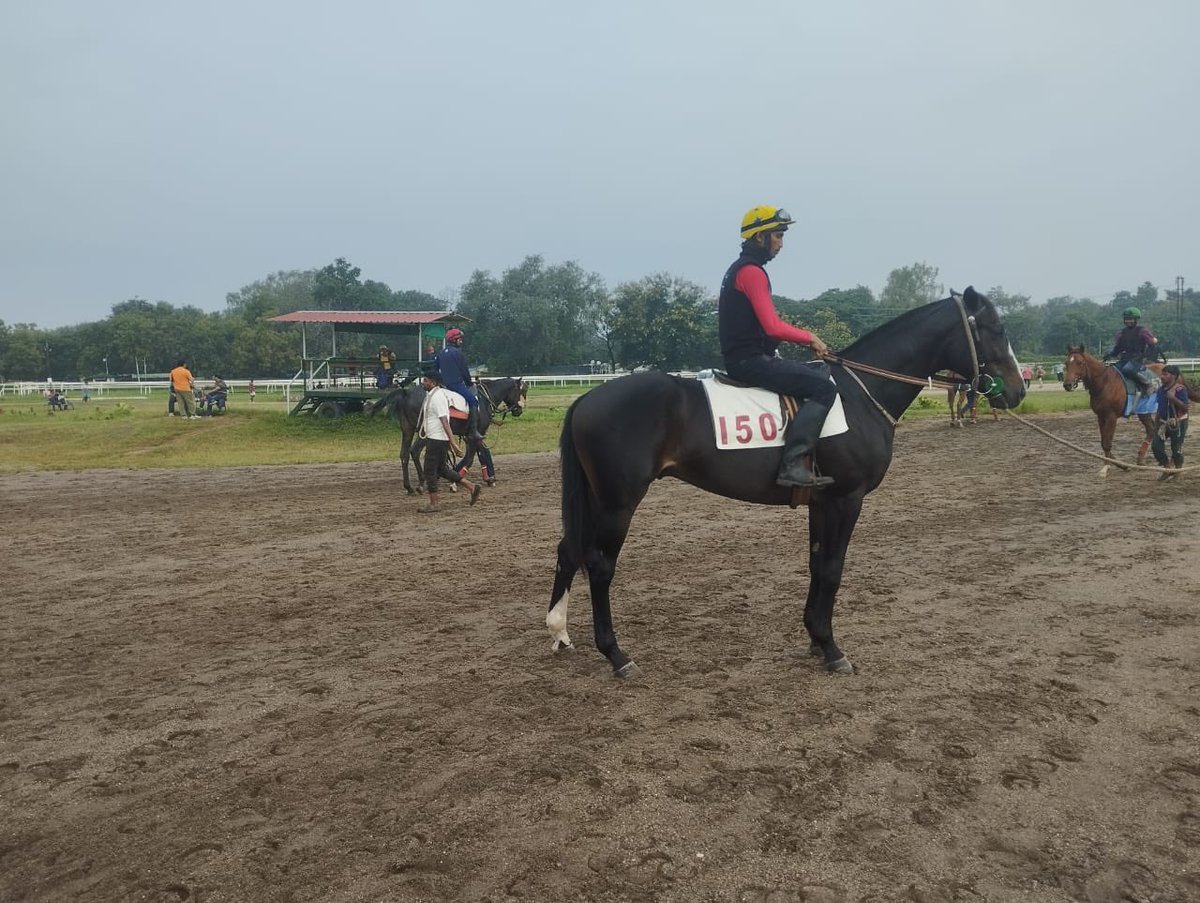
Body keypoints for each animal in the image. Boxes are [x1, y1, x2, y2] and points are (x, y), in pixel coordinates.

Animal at [375, 376, 526, 494]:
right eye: (522, 391)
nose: (518, 410)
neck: (484, 399)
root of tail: (406, 392)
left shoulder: (471, 436)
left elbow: (480, 454)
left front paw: (488, 478)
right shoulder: (476, 434)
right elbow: (470, 458)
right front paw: (455, 481)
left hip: (408, 429)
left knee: (404, 454)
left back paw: (409, 487)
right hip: (424, 432)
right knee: (415, 451)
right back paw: (422, 482)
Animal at [546, 286, 1025, 677]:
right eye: (996, 329)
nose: (1017, 390)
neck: (859, 393)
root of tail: (586, 398)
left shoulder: (823, 501)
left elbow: (817, 564)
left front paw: (815, 637)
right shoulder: (847, 499)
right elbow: (832, 568)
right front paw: (832, 649)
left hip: (597, 499)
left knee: (569, 550)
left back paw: (559, 631)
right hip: (619, 503)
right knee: (599, 566)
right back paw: (616, 655)